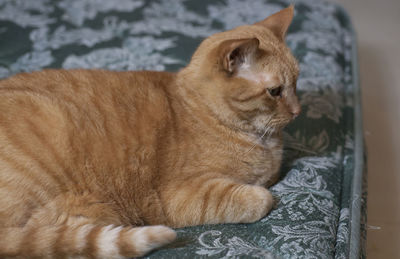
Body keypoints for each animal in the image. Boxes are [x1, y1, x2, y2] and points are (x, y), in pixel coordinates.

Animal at [0, 4, 300, 259]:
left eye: (297, 82)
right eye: (275, 91)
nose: (297, 110)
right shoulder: (181, 196)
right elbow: (258, 198)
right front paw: (262, 196)